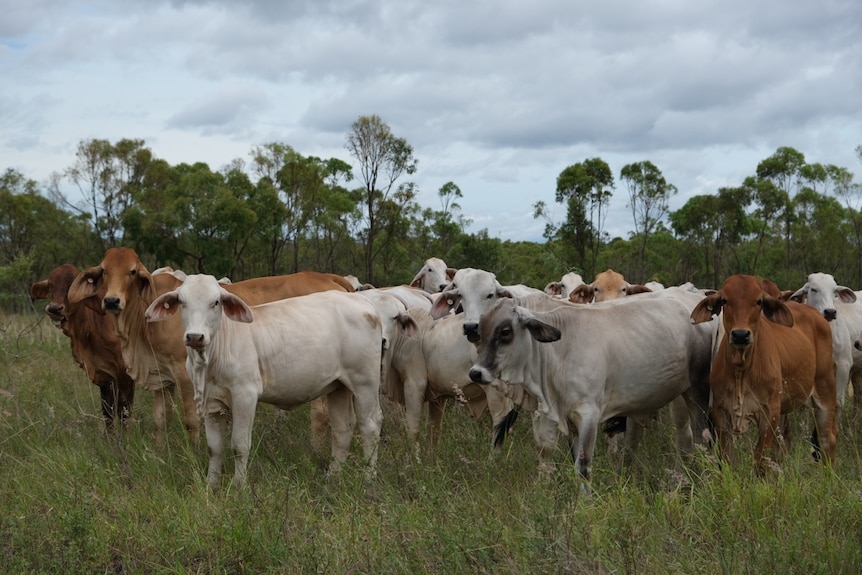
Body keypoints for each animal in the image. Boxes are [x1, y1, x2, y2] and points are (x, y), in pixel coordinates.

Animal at [147, 276, 384, 490]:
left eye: (215, 302)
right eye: (182, 301)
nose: (195, 336)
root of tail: (364, 303)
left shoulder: (245, 396)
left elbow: (239, 445)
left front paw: (238, 487)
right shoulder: (212, 403)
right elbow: (214, 448)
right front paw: (210, 486)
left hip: (365, 383)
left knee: (370, 427)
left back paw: (369, 479)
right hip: (338, 387)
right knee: (342, 428)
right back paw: (333, 476)